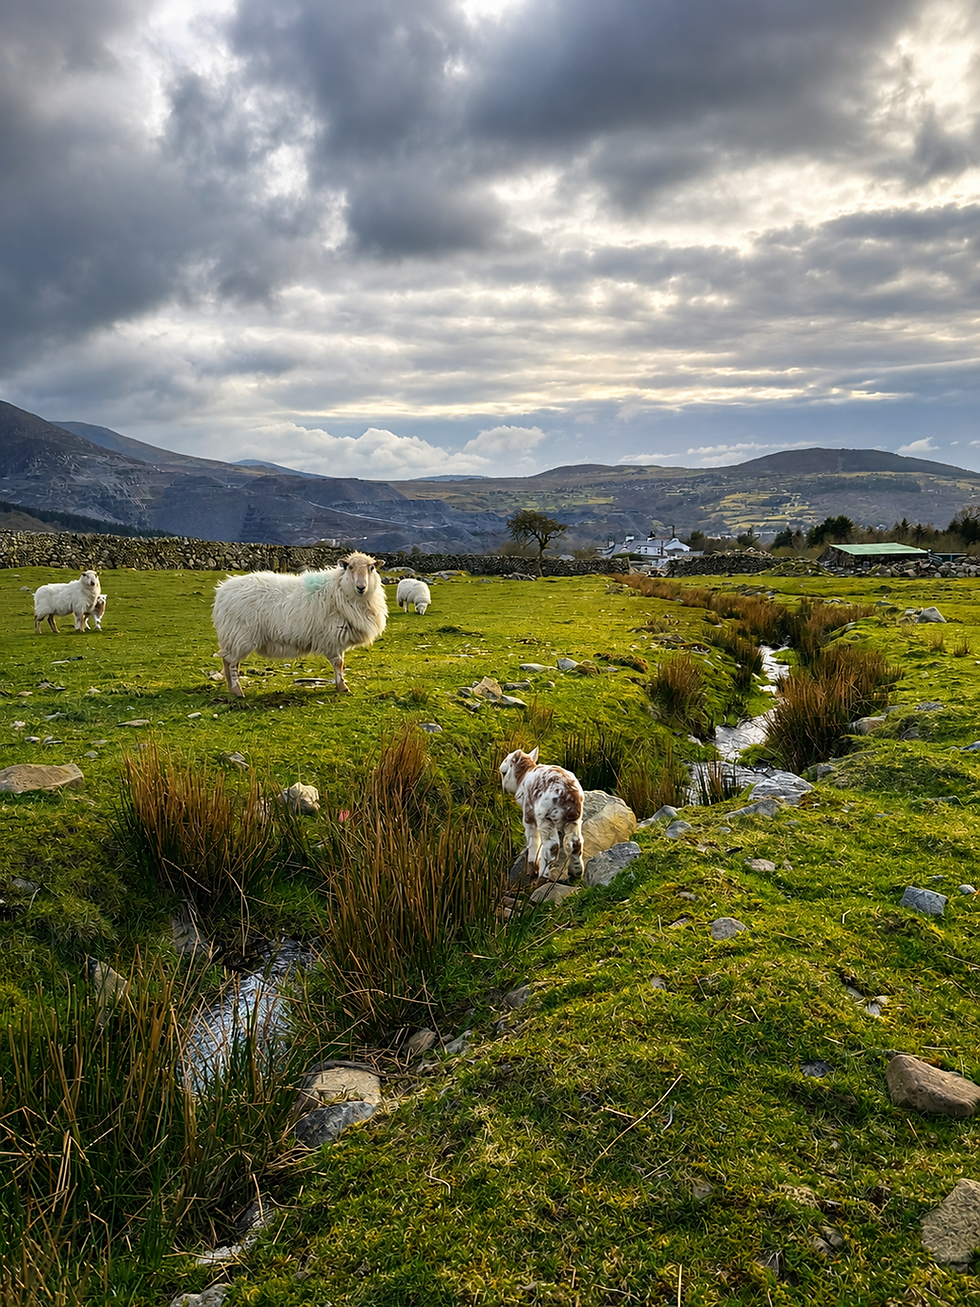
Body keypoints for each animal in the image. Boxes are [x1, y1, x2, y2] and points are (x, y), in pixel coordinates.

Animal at [212, 551, 387, 697]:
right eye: (350, 567)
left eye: (371, 568)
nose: (361, 587)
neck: (340, 589)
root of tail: (222, 591)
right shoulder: (331, 637)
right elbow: (338, 663)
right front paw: (343, 687)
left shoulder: (337, 638)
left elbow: (341, 664)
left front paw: (341, 685)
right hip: (239, 635)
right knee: (231, 663)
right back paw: (237, 691)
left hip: (235, 637)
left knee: (229, 661)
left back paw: (232, 689)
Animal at [499, 746, 585, 883]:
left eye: (504, 773)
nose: (503, 789)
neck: (523, 776)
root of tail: (569, 795)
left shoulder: (528, 818)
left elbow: (533, 842)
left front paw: (531, 870)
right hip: (574, 820)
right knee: (575, 843)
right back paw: (576, 872)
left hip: (546, 817)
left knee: (552, 846)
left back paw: (542, 877)